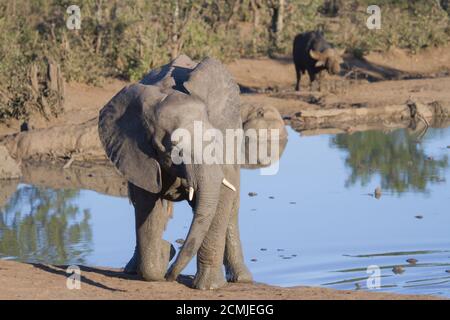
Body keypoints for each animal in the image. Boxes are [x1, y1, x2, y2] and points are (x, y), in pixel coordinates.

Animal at [99, 55, 288, 290]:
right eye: (175, 149)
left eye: (215, 140)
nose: (170, 275)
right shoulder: (138, 153)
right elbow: (147, 205)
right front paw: (162, 256)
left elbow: (221, 201)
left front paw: (209, 287)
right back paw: (132, 269)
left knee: (231, 207)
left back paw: (242, 279)